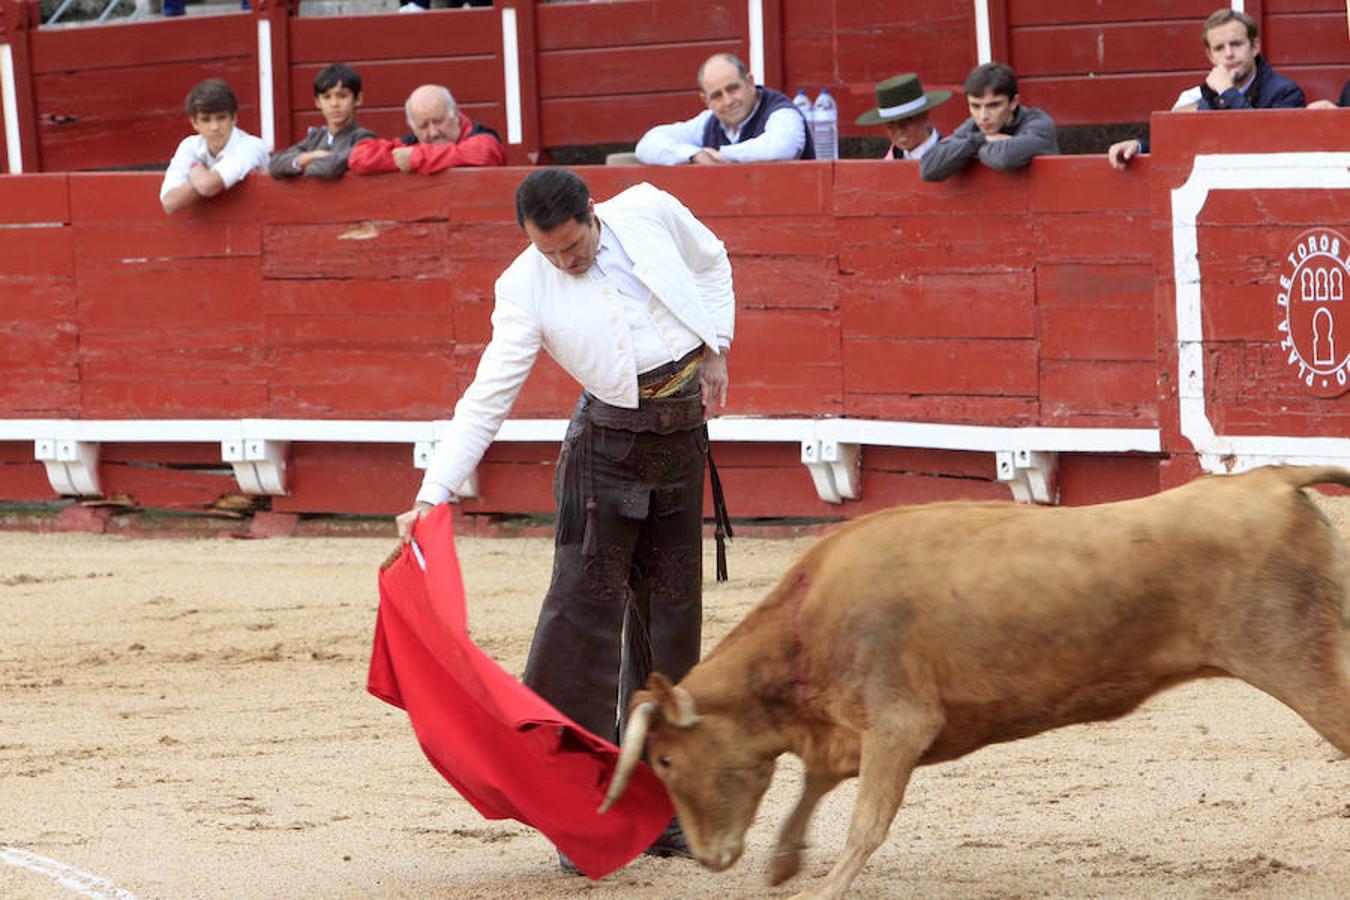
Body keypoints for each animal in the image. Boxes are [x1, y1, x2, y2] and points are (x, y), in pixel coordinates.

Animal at [599, 464, 1350, 900]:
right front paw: (784, 862)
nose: (707, 857)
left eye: (665, 760)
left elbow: (866, 822)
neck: (806, 622)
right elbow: (817, 785)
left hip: (1301, 660)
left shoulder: (898, 723)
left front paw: (820, 887)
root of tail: (1270, 477)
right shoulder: (851, 731)